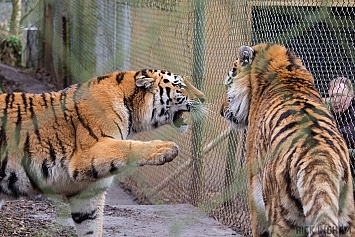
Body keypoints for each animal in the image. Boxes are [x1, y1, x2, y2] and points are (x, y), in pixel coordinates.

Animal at [0, 69, 206, 236]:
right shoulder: (91, 152)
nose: (204, 98)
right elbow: (128, 146)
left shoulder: (87, 193)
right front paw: (167, 148)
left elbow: (92, 226)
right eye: (180, 85)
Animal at [221, 43, 354, 236]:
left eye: (229, 82)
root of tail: (319, 162)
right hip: (346, 218)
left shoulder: (254, 189)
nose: (221, 110)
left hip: (283, 218)